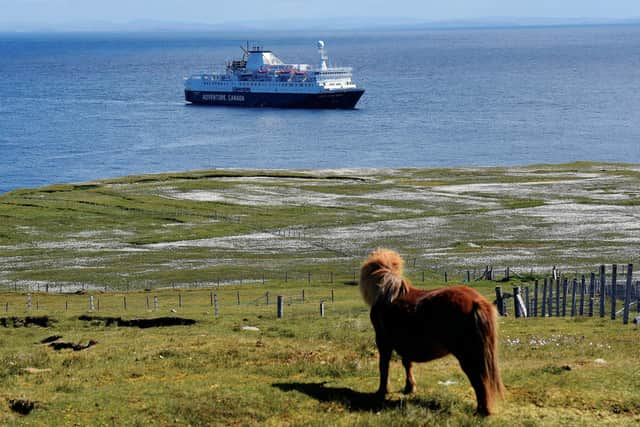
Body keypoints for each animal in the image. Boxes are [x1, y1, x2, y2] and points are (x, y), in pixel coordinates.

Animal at [358, 249, 502, 416]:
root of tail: (475, 302)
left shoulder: (383, 341)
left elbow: (383, 366)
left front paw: (382, 391)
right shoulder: (405, 343)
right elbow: (407, 363)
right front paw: (409, 387)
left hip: (467, 355)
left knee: (479, 379)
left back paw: (482, 411)